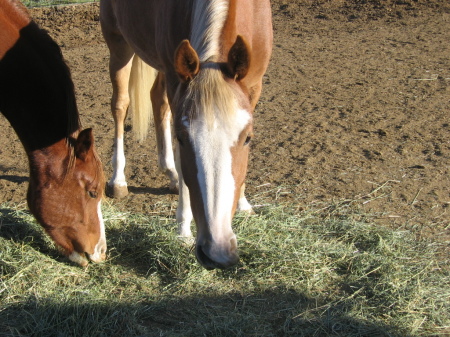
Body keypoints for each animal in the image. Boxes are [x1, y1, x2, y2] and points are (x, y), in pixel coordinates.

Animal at [100, 0, 272, 268]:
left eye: (248, 138)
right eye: (181, 138)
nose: (217, 251)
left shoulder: (254, 84)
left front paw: (244, 202)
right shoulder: (176, 79)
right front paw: (182, 229)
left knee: (156, 99)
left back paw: (169, 173)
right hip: (118, 42)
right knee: (120, 105)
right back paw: (118, 180)